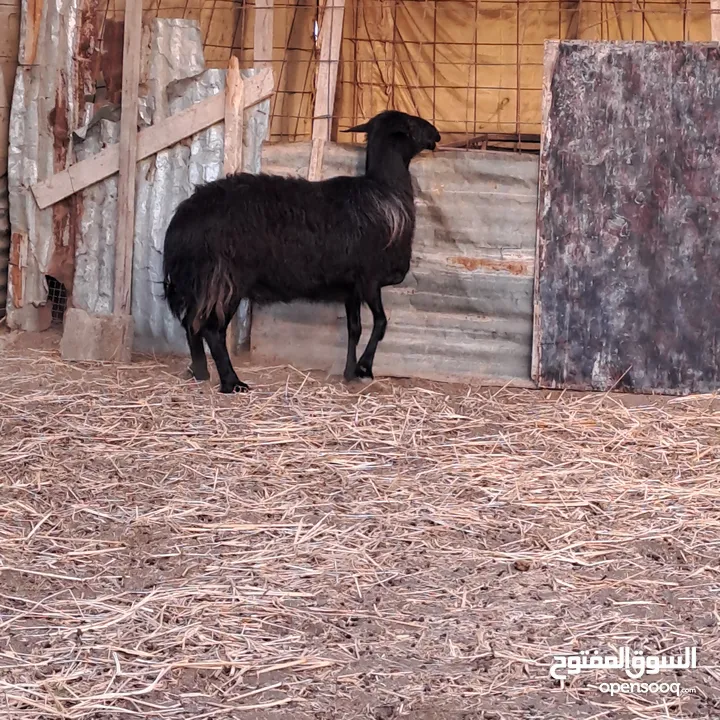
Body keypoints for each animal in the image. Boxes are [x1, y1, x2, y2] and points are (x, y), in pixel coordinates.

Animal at [164, 109, 442, 390]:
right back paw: (232, 383)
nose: (437, 135)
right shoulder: (369, 279)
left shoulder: (351, 286)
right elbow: (381, 323)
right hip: (226, 278)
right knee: (211, 329)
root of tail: (182, 219)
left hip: (202, 281)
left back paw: (200, 372)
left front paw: (350, 372)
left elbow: (355, 328)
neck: (387, 193)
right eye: (410, 124)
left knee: (191, 323)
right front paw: (364, 367)